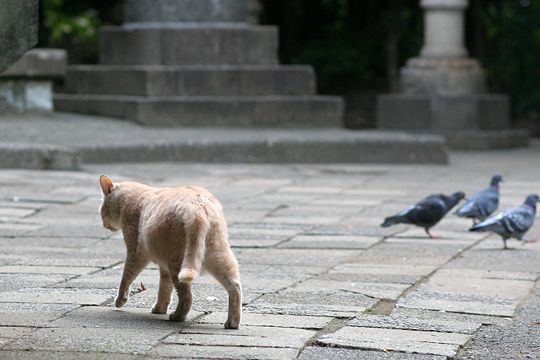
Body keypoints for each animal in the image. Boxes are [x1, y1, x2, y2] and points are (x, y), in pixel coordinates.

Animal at [98, 174, 242, 330]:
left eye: (102, 210)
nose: (104, 225)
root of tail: (197, 208)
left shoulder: (135, 253)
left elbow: (126, 278)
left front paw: (120, 300)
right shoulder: (164, 266)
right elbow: (164, 289)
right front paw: (159, 309)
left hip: (177, 264)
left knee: (187, 297)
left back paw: (177, 317)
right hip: (219, 257)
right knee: (235, 287)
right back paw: (232, 323)